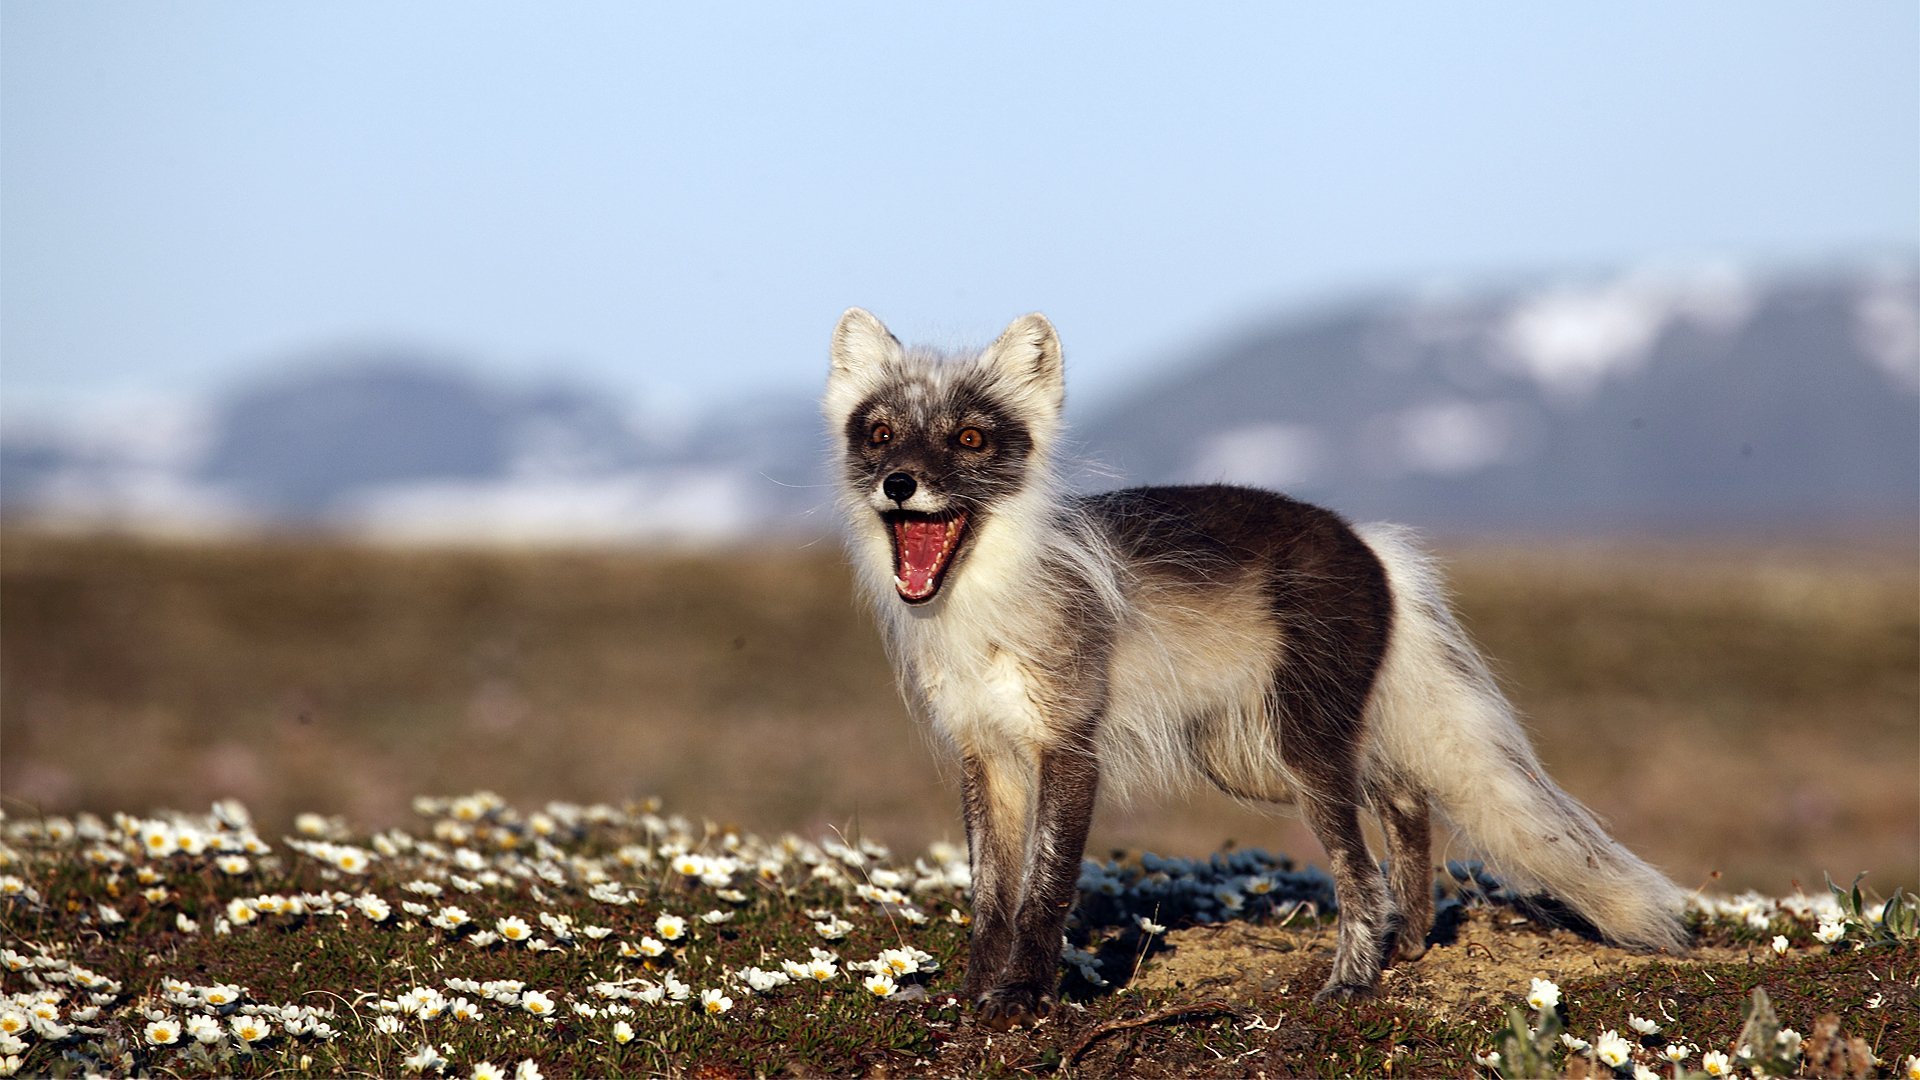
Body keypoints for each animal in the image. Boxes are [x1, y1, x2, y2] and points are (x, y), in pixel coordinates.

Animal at [817, 305, 1689, 1022]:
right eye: (879, 435)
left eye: (969, 439)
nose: (900, 484)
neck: (985, 609)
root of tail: (1370, 542)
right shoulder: (987, 753)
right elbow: (990, 896)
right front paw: (971, 992)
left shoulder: (1068, 745)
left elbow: (1045, 888)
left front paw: (1024, 997)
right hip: (1261, 754)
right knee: (1407, 802)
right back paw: (1408, 946)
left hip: (1298, 746)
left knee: (1362, 870)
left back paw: (1353, 982)